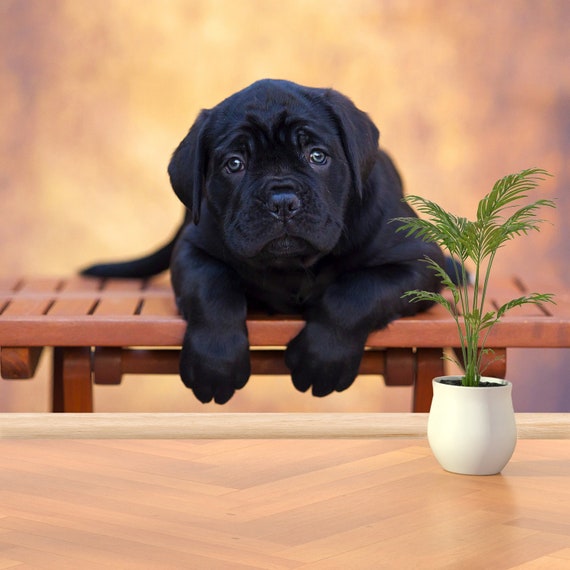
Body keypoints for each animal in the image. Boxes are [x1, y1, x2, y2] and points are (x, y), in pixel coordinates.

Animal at [84, 77, 442, 402]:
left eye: (317, 156)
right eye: (234, 164)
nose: (282, 201)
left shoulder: (421, 261)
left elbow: (356, 293)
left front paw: (323, 356)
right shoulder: (193, 250)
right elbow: (211, 289)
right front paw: (216, 361)